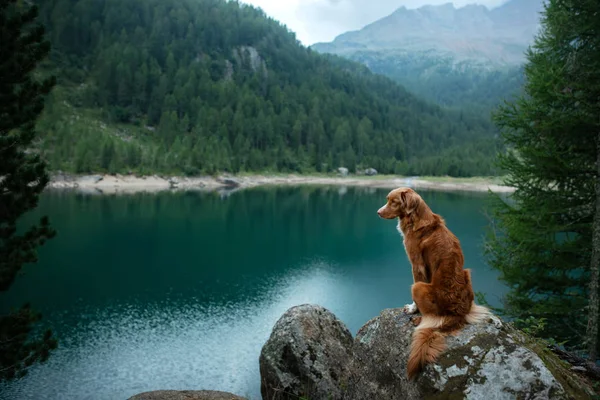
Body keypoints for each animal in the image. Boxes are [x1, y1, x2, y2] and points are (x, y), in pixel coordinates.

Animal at [378, 188, 490, 382]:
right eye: (388, 200)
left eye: (393, 202)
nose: (378, 212)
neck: (416, 220)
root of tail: (458, 314)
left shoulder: (417, 265)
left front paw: (412, 309)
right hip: (467, 274)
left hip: (418, 288)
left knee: (431, 317)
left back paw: (419, 320)